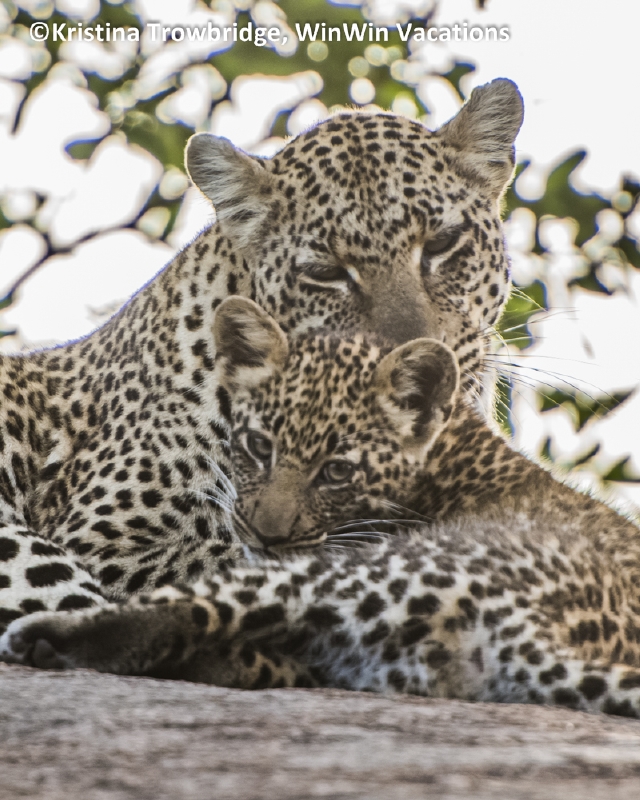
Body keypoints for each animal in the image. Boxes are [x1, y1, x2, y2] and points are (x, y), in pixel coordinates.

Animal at [4, 302, 640, 719]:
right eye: (258, 446)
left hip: (354, 574)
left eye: (336, 471)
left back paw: (40, 637)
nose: (264, 535)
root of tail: (530, 632)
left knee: (196, 613)